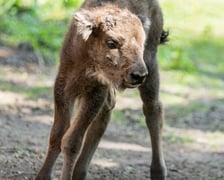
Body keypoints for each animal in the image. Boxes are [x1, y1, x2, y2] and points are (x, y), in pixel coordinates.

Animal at [35, 0, 168, 180]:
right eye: (111, 42)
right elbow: (57, 134)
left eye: (142, 42)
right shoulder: (63, 87)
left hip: (151, 67)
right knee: (104, 117)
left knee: (153, 110)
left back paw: (158, 171)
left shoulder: (95, 92)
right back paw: (80, 172)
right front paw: (43, 176)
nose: (138, 75)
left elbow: (71, 141)